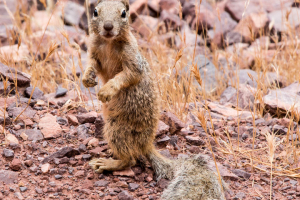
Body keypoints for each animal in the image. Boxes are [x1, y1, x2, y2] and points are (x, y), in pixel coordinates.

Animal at [81, 0, 226, 198]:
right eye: (95, 12)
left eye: (124, 13)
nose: (108, 26)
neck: (109, 42)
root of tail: (146, 144)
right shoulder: (94, 52)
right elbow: (91, 64)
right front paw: (87, 79)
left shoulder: (133, 62)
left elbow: (127, 76)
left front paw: (106, 91)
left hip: (116, 129)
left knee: (130, 160)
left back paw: (107, 163)